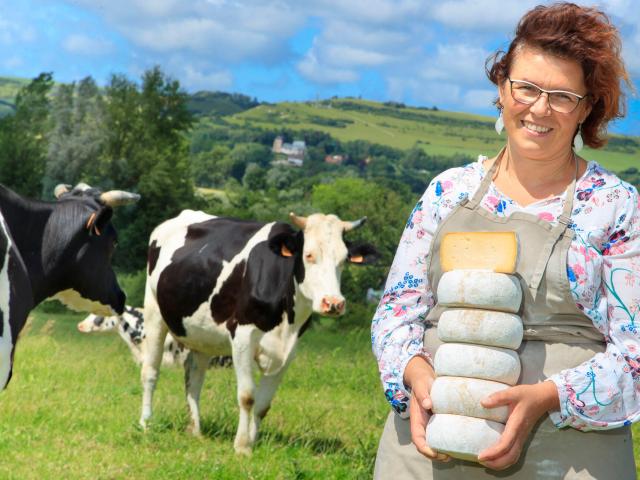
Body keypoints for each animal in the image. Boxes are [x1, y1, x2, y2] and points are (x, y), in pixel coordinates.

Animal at [140, 210, 378, 454]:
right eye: (309, 255)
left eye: (344, 259)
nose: (334, 303)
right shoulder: (242, 337)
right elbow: (247, 396)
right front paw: (242, 446)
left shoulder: (289, 349)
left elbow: (263, 404)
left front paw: (252, 441)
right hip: (153, 313)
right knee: (150, 371)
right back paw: (146, 423)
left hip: (202, 335)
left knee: (194, 378)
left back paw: (196, 430)